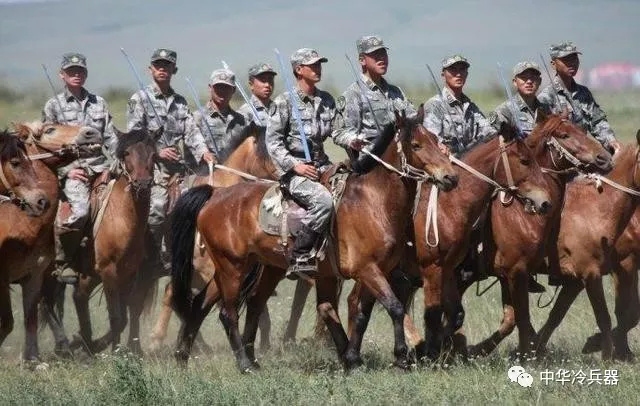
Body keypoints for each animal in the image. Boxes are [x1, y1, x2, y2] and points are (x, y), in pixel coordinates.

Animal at [1, 122, 100, 361]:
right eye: (49, 130)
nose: (91, 132)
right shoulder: (3, 277)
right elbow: (7, 323)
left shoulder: (35, 274)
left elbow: (31, 317)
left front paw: (33, 360)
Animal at [171, 109, 459, 372]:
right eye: (416, 145)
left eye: (435, 139)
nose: (450, 177)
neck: (373, 201)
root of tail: (215, 194)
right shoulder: (367, 270)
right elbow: (395, 307)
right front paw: (400, 357)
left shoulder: (377, 271)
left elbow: (361, 313)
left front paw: (353, 359)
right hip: (232, 267)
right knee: (227, 312)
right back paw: (243, 364)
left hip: (253, 268)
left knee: (218, 304)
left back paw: (187, 358)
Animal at [534, 131, 640, 360]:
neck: (596, 210)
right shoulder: (611, 269)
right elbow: (618, 314)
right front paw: (607, 351)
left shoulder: (576, 280)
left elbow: (556, 315)